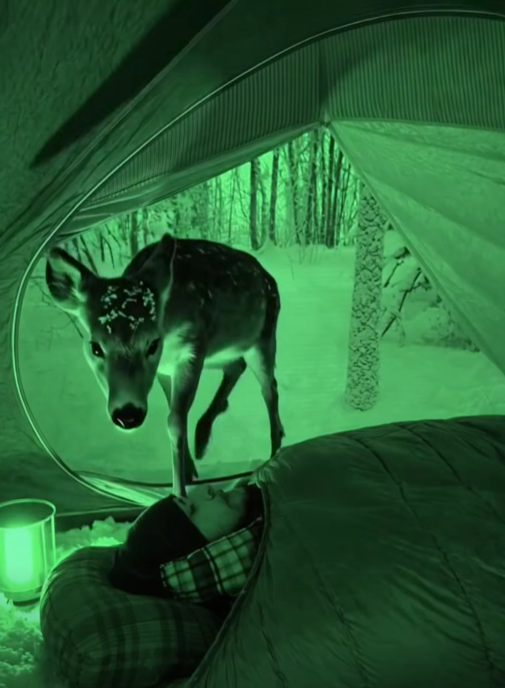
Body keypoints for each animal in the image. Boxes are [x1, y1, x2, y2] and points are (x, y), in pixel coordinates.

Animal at [45, 233, 285, 497]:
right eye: (95, 347)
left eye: (152, 344)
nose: (128, 414)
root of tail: (270, 278)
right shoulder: (164, 369)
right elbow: (175, 415)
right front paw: (190, 472)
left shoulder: (192, 348)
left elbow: (175, 422)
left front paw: (179, 492)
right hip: (223, 349)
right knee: (236, 367)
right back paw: (204, 436)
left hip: (263, 338)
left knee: (269, 389)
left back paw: (275, 450)